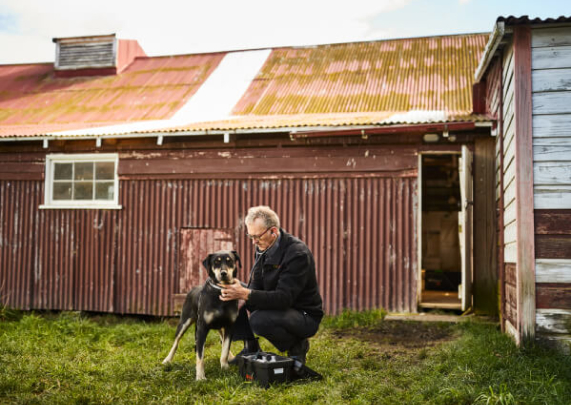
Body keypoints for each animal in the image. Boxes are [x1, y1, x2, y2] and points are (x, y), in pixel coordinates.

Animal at [161, 249, 241, 378]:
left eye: (230, 261)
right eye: (216, 262)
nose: (223, 273)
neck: (220, 290)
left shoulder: (229, 326)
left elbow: (225, 349)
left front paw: (225, 368)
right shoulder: (202, 327)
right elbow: (200, 356)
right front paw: (200, 377)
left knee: (222, 340)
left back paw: (231, 356)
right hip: (184, 321)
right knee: (176, 342)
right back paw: (167, 360)